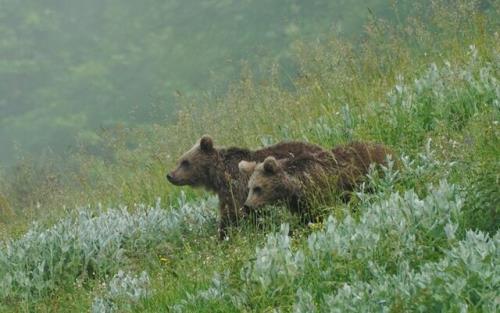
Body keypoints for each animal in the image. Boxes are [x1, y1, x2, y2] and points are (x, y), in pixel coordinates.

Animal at [168, 135, 324, 239]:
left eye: (185, 162)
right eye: (180, 160)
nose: (170, 175)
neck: (218, 175)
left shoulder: (236, 186)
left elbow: (233, 214)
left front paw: (223, 236)